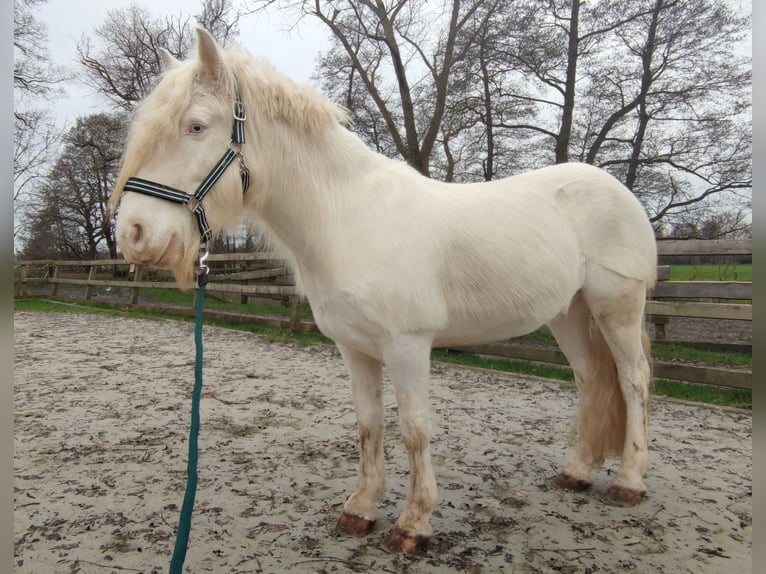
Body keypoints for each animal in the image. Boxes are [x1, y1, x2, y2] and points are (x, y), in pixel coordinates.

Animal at [109, 29, 660, 556]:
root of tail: (620, 193)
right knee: (591, 380)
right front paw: (361, 509)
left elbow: (415, 429)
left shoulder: (408, 346)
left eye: (196, 126)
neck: (348, 217)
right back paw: (577, 473)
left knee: (632, 381)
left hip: (616, 307)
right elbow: (369, 425)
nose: (134, 234)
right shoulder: (355, 348)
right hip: (569, 313)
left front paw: (414, 525)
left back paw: (629, 483)